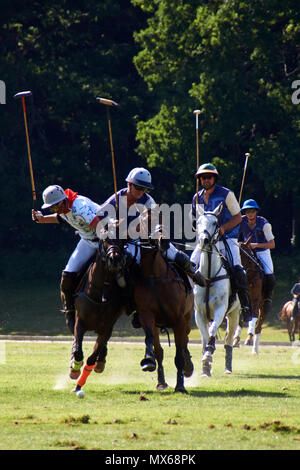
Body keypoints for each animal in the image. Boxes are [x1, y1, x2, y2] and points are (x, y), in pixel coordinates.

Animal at [193, 204, 240, 376]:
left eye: (215, 222)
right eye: (198, 222)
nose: (204, 240)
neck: (208, 276)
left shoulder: (220, 309)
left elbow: (212, 332)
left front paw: (208, 354)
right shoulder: (199, 313)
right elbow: (205, 336)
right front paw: (205, 366)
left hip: (234, 314)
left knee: (228, 340)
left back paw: (228, 368)